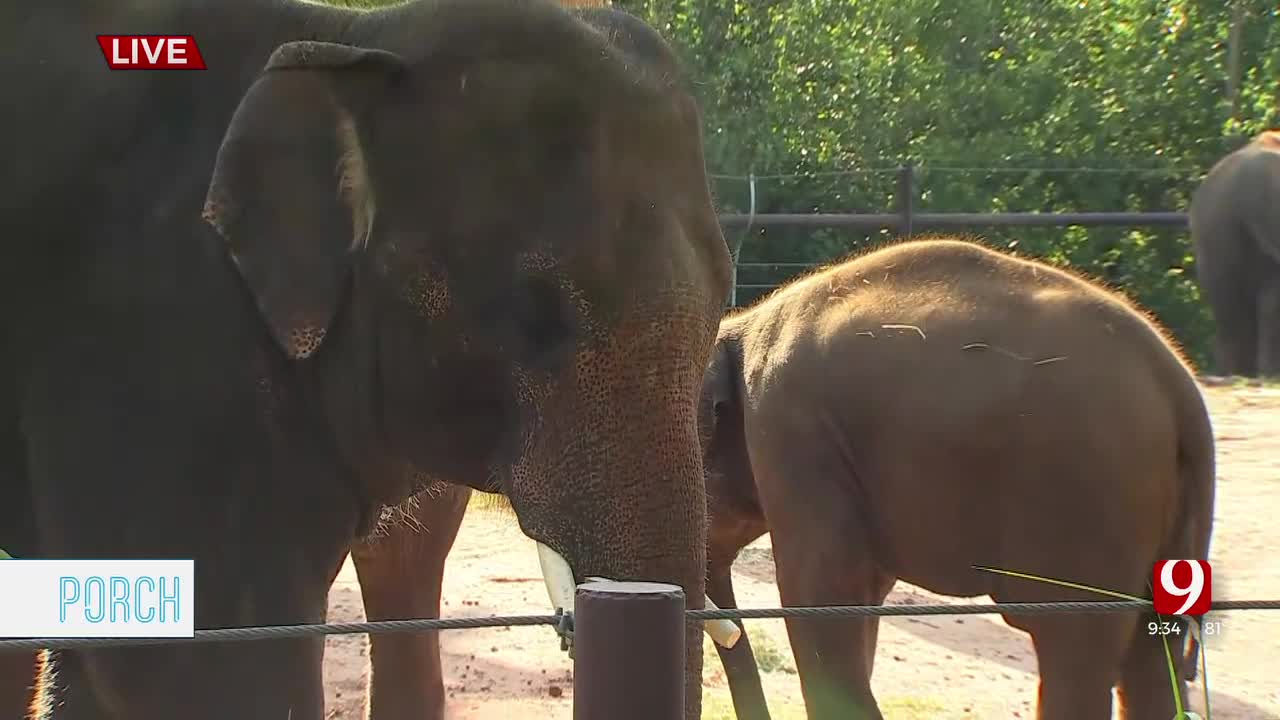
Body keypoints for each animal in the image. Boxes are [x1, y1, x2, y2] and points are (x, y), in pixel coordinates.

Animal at [696, 237, 1213, 717]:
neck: (740, 331)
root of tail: (1180, 386)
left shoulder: (794, 435)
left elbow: (820, 593)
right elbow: (864, 595)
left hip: (1087, 494)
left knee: (1073, 651)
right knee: (1150, 658)